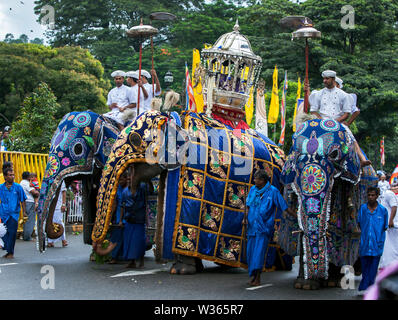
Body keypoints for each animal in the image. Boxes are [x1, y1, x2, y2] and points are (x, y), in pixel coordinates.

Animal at [91, 110, 294, 276]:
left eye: (134, 140)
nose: (107, 244)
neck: (176, 121)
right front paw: (196, 267)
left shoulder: (193, 171)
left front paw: (180, 270)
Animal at [278, 118, 378, 290]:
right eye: (296, 156)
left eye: (334, 154)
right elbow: (301, 227)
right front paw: (304, 284)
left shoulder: (345, 184)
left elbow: (336, 230)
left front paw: (329, 281)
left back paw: (336, 279)